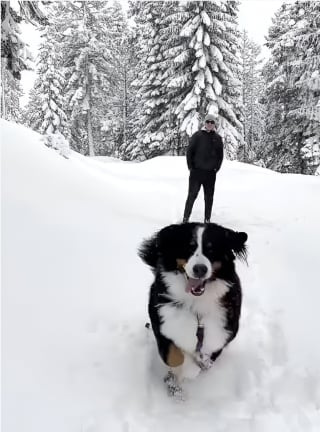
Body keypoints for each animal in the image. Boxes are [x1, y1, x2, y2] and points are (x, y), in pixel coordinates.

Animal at [138, 223, 248, 398]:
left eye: (211, 250)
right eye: (189, 248)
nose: (200, 269)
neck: (196, 303)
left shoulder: (223, 333)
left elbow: (204, 362)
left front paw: (190, 370)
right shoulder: (162, 322)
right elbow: (175, 357)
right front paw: (177, 379)